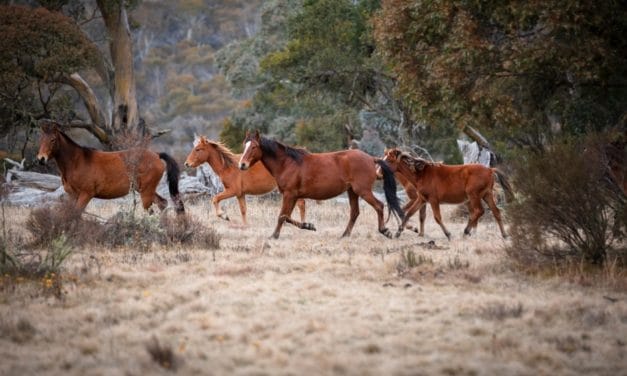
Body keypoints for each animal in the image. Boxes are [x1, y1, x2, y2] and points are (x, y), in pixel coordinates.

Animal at [36, 122, 184, 213]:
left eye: (53, 140)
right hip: (145, 190)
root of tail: (157, 155)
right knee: (162, 203)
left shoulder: (86, 195)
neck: (77, 161)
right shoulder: (72, 196)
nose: (41, 159)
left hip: (146, 192)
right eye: (41, 139)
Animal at [238, 131, 404, 239]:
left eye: (254, 147)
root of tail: (371, 158)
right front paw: (308, 226)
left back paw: (384, 231)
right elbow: (287, 217)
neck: (287, 163)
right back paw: (344, 235)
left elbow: (282, 216)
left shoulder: (289, 194)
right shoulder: (293, 196)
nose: (242, 165)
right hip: (352, 192)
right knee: (355, 212)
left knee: (379, 206)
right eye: (244, 146)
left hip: (362, 191)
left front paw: (274, 236)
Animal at [380, 148, 512, 239]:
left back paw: (466, 231)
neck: (421, 174)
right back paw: (504, 235)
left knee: (478, 211)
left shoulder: (433, 200)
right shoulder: (422, 199)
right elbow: (409, 213)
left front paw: (448, 234)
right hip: (486, 195)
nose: (379, 172)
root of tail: (490, 169)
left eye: (389, 160)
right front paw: (398, 232)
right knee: (496, 212)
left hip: (473, 195)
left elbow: (437, 218)